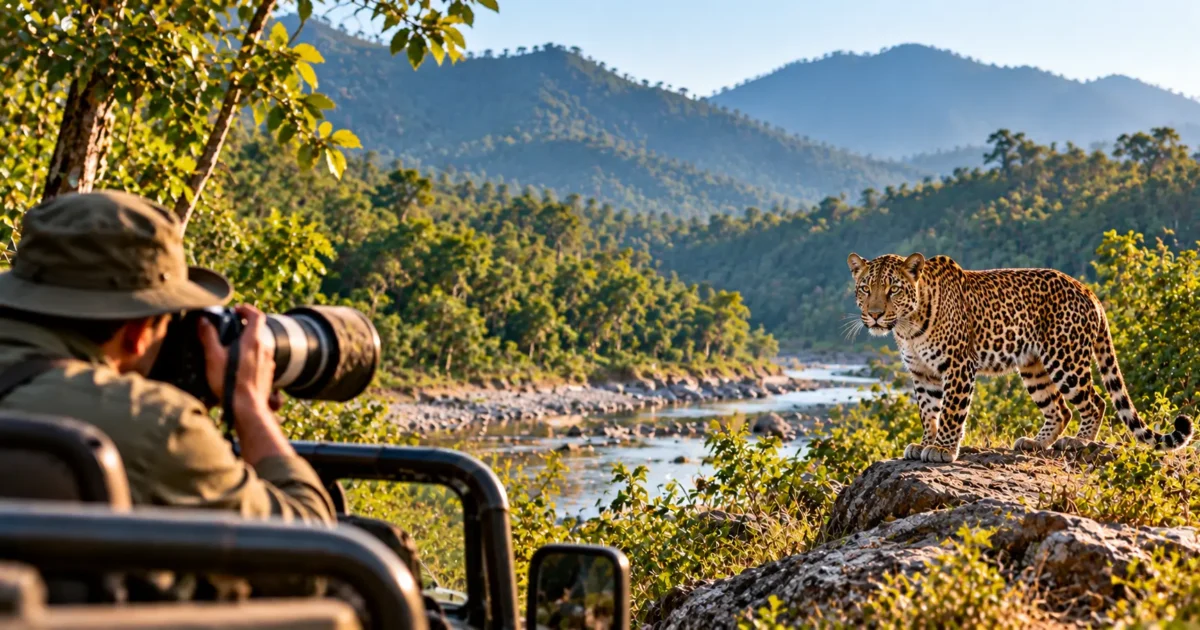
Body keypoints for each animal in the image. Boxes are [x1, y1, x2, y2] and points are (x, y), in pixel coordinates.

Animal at [846, 251, 1193, 463]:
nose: (875, 315)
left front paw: (942, 449)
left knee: (1095, 401)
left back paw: (1078, 442)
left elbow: (951, 412)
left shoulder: (958, 365)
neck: (908, 326)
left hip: (1066, 359)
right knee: (1060, 409)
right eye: (865, 288)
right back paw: (1036, 444)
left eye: (893, 289)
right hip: (1033, 366)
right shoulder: (923, 373)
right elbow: (928, 411)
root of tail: (1087, 290)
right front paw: (925, 443)